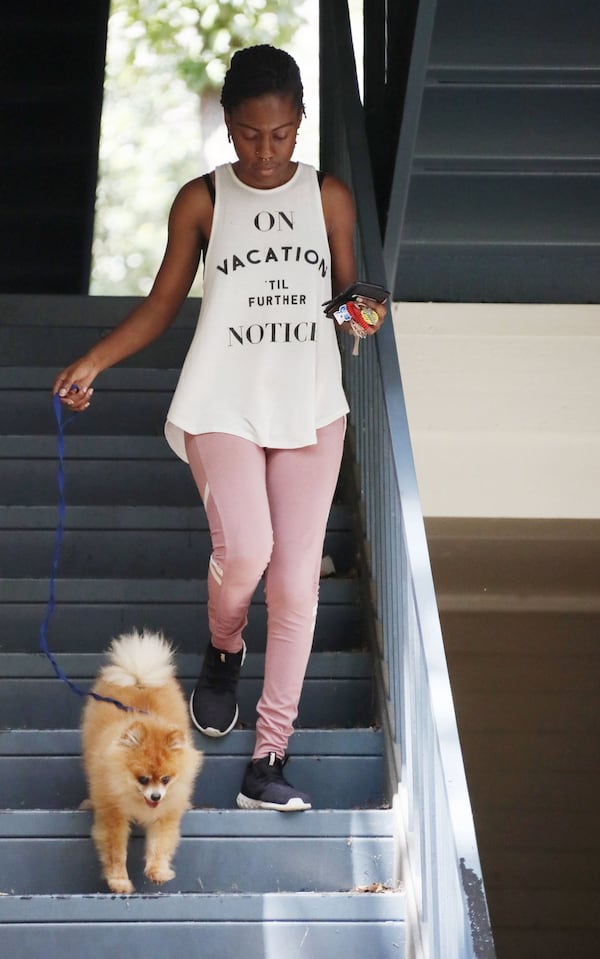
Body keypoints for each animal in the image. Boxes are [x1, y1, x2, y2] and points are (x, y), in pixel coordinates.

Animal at [81, 632, 203, 896]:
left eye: (166, 779)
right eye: (143, 779)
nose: (156, 796)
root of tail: (138, 678)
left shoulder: (164, 814)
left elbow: (160, 845)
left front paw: (158, 872)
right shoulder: (113, 813)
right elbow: (116, 851)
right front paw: (119, 881)